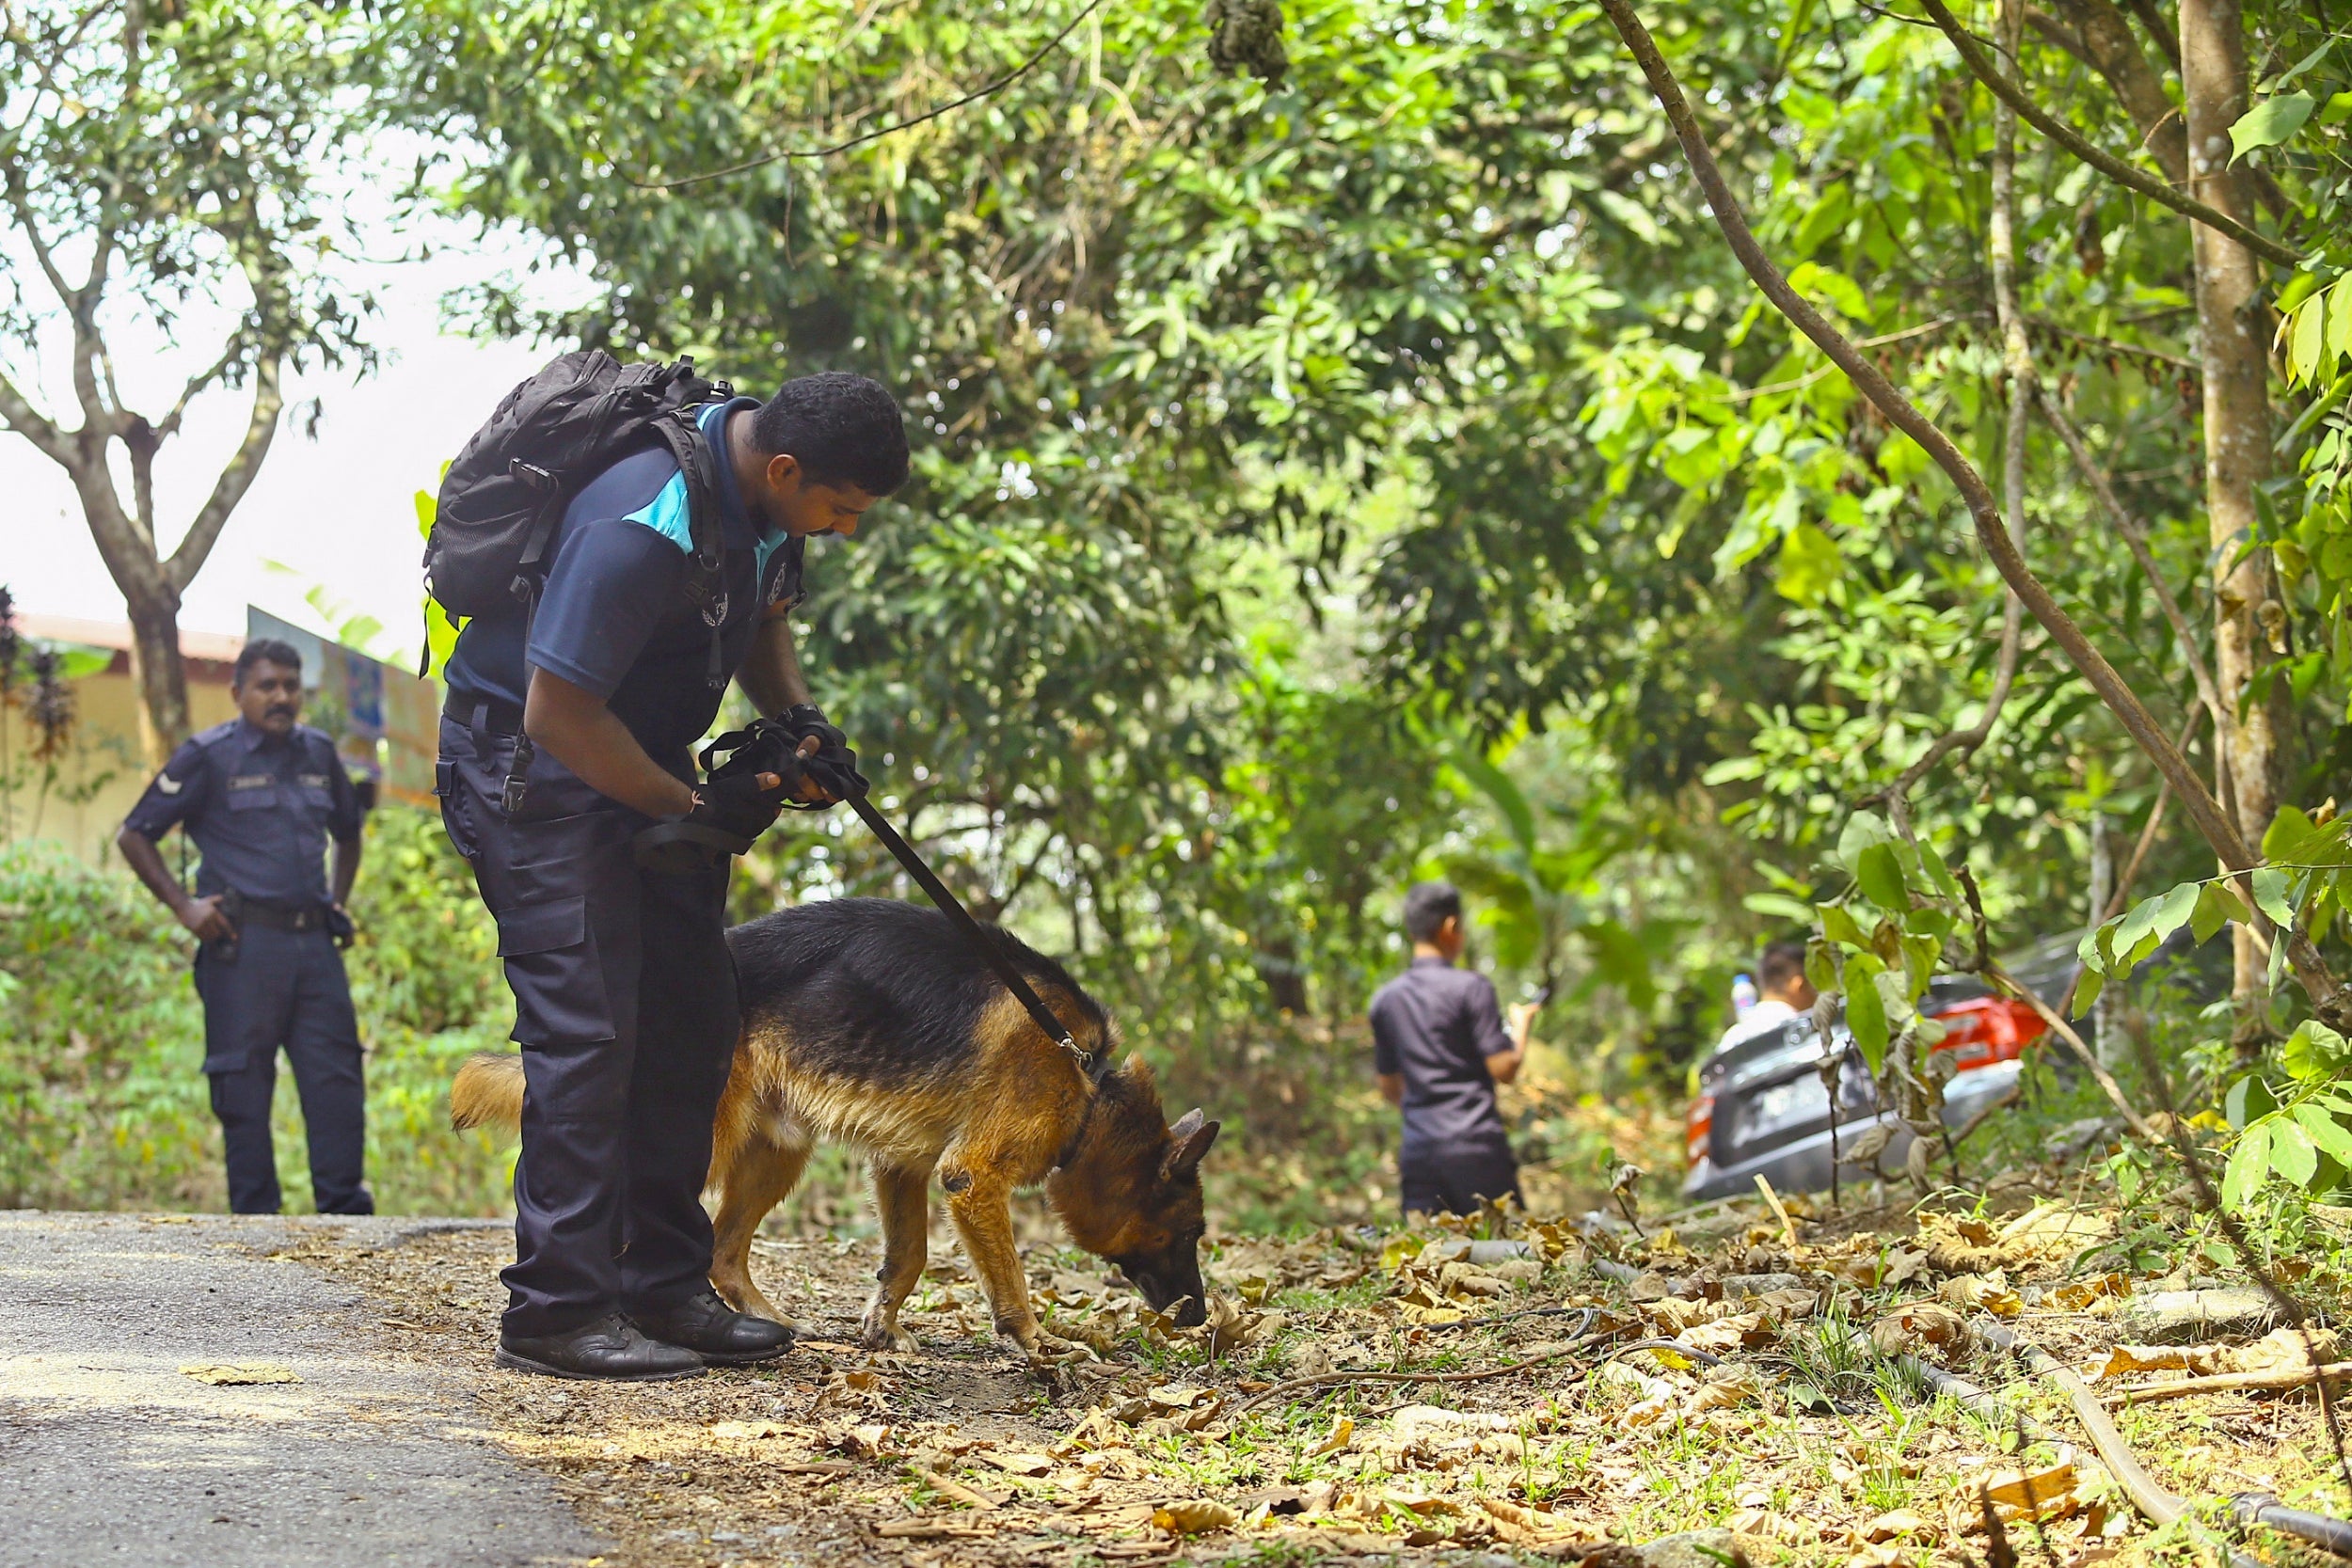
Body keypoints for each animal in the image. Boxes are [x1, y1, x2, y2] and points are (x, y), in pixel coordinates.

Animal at [449, 902, 1223, 1354]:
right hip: (705, 1142)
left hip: (778, 1153)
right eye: (1188, 1233)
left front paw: (883, 1327)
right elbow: (1009, 1281)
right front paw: (1036, 1342)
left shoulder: (904, 1165)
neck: (1089, 1084)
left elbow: (908, 1256)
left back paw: (763, 1322)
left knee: (723, 1250)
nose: (1200, 1321)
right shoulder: (972, 1176)